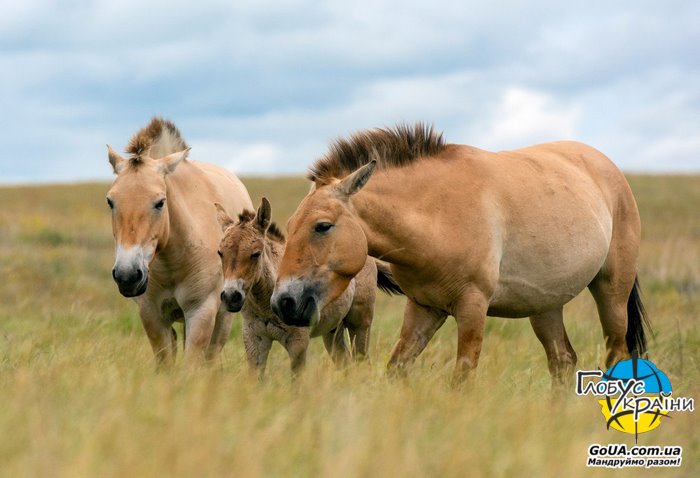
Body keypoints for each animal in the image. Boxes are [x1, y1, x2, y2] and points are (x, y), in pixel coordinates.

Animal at [105, 117, 253, 368]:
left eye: (160, 202)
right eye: (110, 201)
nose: (127, 275)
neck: (172, 261)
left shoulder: (200, 312)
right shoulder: (152, 314)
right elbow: (166, 363)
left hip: (223, 318)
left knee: (212, 357)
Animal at [215, 198, 400, 378]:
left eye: (255, 254)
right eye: (220, 253)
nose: (231, 297)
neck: (265, 305)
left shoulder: (298, 342)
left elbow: (297, 381)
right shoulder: (254, 339)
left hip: (360, 323)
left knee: (362, 362)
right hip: (333, 330)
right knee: (344, 363)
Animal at [272, 122, 652, 384]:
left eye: (322, 226)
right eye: (290, 226)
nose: (283, 302)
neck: (437, 215)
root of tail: (610, 169)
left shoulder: (472, 308)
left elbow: (462, 377)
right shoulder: (424, 308)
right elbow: (397, 368)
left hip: (611, 294)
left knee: (616, 355)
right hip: (545, 306)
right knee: (562, 361)